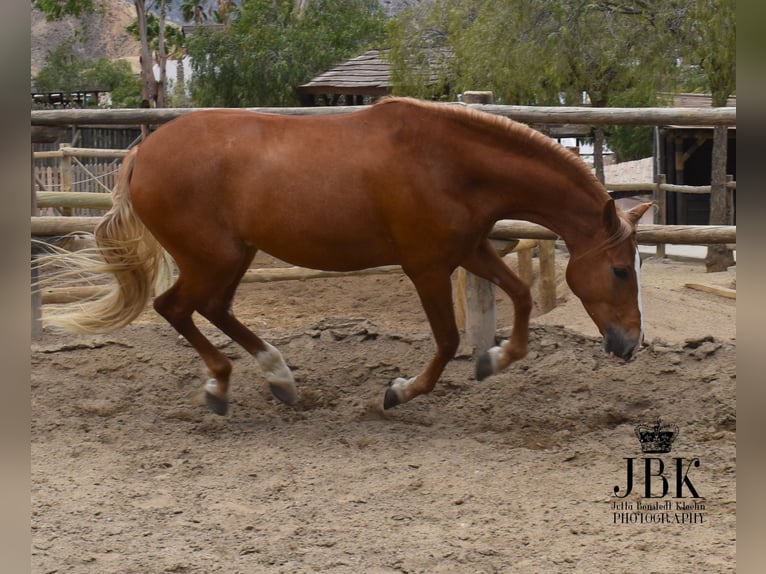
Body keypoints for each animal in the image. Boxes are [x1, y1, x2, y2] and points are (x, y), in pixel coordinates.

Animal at [43, 97, 652, 416]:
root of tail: (142, 153)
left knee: (211, 309)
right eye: (620, 269)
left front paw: (494, 359)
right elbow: (447, 339)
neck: (449, 162)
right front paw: (400, 391)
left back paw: (279, 378)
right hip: (211, 257)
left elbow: (521, 296)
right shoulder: (426, 265)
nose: (629, 346)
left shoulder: (468, 249)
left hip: (234, 256)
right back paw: (224, 385)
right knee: (175, 308)